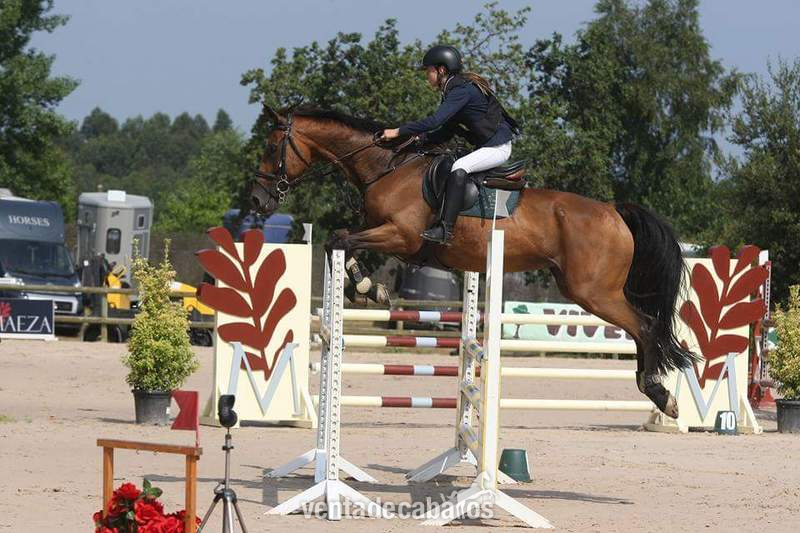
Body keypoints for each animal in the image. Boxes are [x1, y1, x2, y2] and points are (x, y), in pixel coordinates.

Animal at [250, 106, 696, 419]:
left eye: (271, 147)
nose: (258, 200)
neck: (387, 169)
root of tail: (614, 211)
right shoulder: (381, 231)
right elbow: (344, 241)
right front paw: (369, 288)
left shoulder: (403, 236)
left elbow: (339, 240)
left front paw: (364, 288)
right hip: (589, 291)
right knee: (642, 329)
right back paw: (656, 391)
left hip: (593, 293)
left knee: (646, 326)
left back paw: (659, 393)